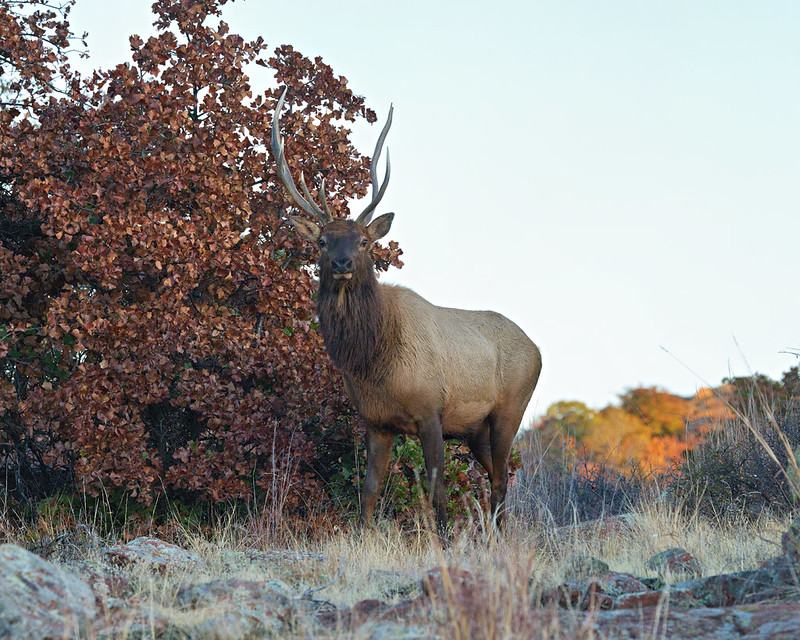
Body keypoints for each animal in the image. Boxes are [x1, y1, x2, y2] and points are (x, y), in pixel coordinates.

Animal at [271, 88, 542, 533]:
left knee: (502, 478)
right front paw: (364, 537)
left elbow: (436, 490)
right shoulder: (376, 421)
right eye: (323, 241)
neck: (374, 360)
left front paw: (445, 538)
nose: (342, 263)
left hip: (510, 409)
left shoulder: (431, 410)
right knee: (495, 477)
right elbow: (368, 491)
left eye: (364, 241)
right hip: (474, 429)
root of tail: (537, 349)